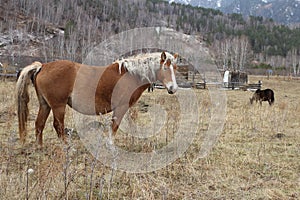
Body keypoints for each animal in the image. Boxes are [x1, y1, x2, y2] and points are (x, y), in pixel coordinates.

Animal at [16, 51, 178, 145]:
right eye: (165, 67)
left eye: (175, 68)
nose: (173, 88)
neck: (131, 74)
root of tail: (42, 66)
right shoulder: (120, 108)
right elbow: (114, 127)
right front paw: (111, 146)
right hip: (58, 106)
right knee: (58, 126)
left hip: (45, 105)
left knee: (39, 124)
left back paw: (39, 147)